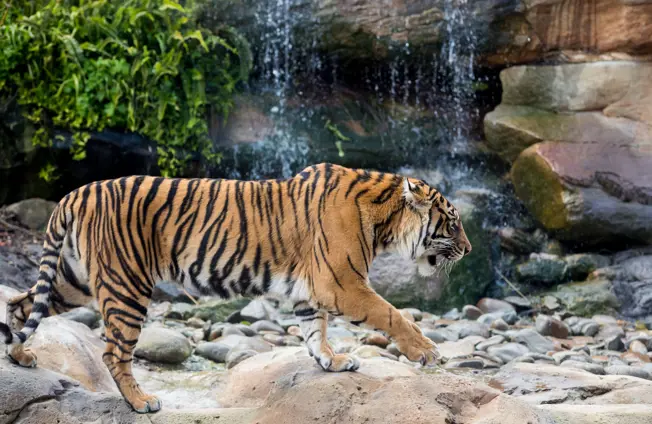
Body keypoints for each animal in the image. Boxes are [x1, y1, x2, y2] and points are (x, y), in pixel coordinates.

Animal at [0, 163, 471, 413]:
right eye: (452, 223)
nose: (468, 250)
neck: (384, 218)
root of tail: (75, 193)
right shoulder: (343, 284)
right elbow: (393, 314)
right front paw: (427, 352)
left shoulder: (312, 291)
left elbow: (314, 331)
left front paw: (331, 362)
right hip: (126, 284)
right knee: (113, 352)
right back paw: (141, 401)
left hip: (74, 279)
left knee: (23, 304)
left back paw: (20, 356)